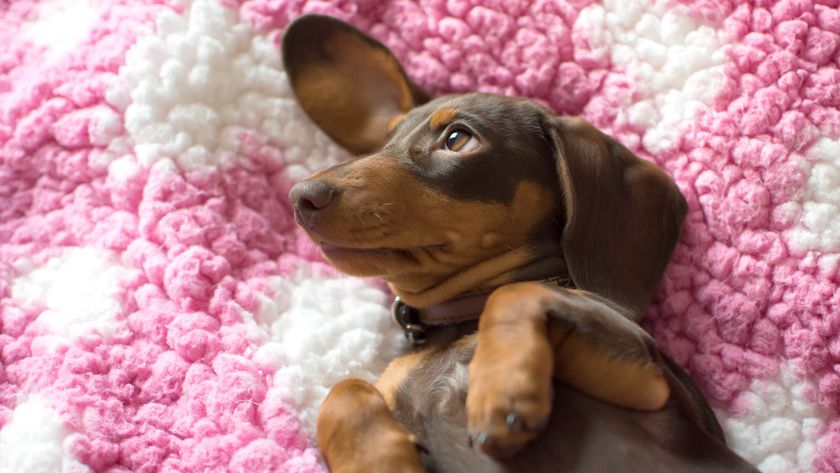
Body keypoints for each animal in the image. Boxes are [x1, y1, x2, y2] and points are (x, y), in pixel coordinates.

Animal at [284, 14, 760, 472]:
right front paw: (382, 461)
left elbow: (517, 291)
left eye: (457, 139)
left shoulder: (651, 381)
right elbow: (343, 390)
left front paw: (502, 391)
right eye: (383, 143)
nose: (301, 198)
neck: (458, 322)